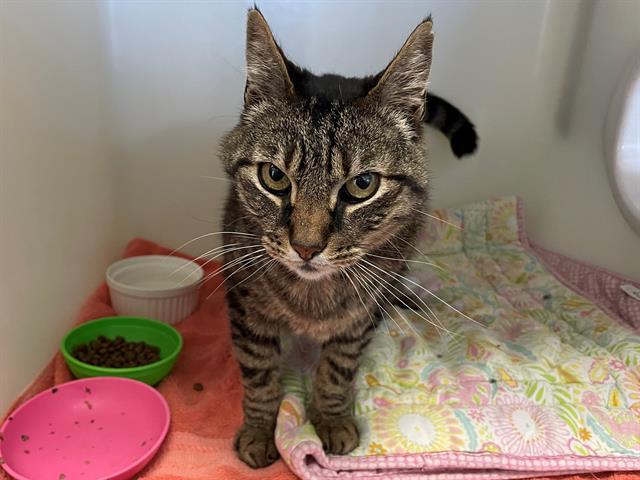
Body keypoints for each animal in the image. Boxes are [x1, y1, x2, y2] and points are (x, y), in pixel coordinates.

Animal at [220, 8, 476, 468]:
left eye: (362, 184)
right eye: (274, 176)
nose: (306, 247)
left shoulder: (360, 319)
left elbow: (337, 368)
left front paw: (331, 417)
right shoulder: (244, 303)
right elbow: (260, 372)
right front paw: (259, 429)